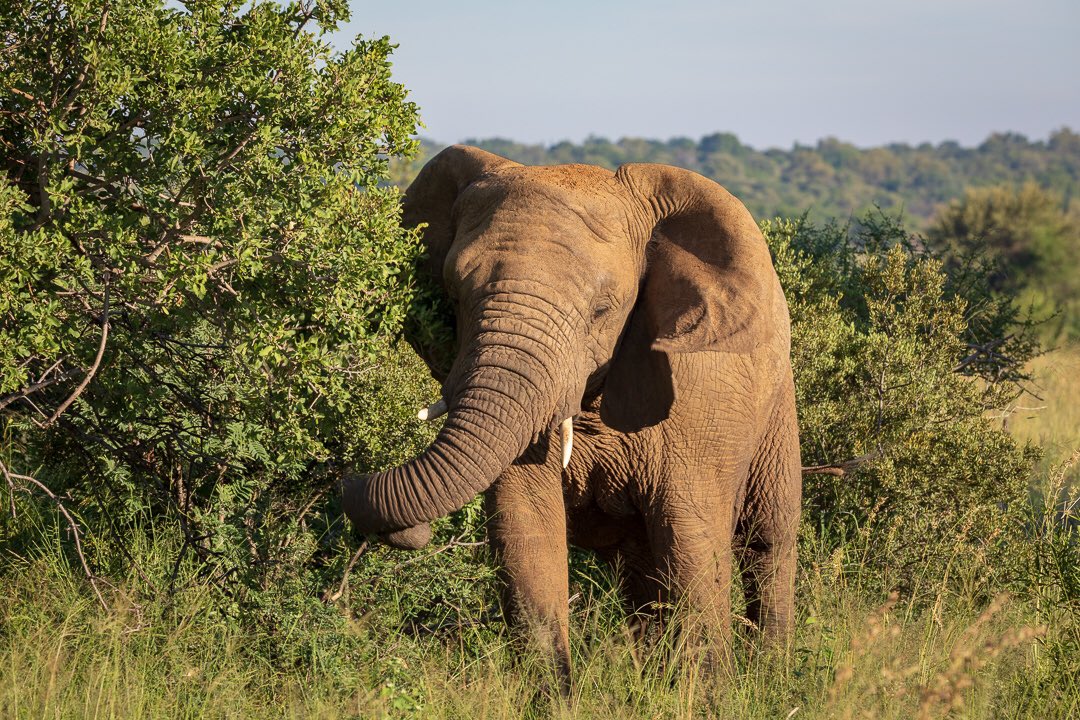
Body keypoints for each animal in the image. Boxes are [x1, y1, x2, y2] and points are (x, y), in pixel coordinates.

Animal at [341, 145, 802, 679]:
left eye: (602, 310)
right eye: (454, 294)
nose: (350, 480)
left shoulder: (696, 403)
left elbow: (690, 536)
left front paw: (708, 691)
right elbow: (526, 529)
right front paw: (555, 691)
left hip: (777, 405)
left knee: (767, 539)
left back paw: (772, 674)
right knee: (640, 567)